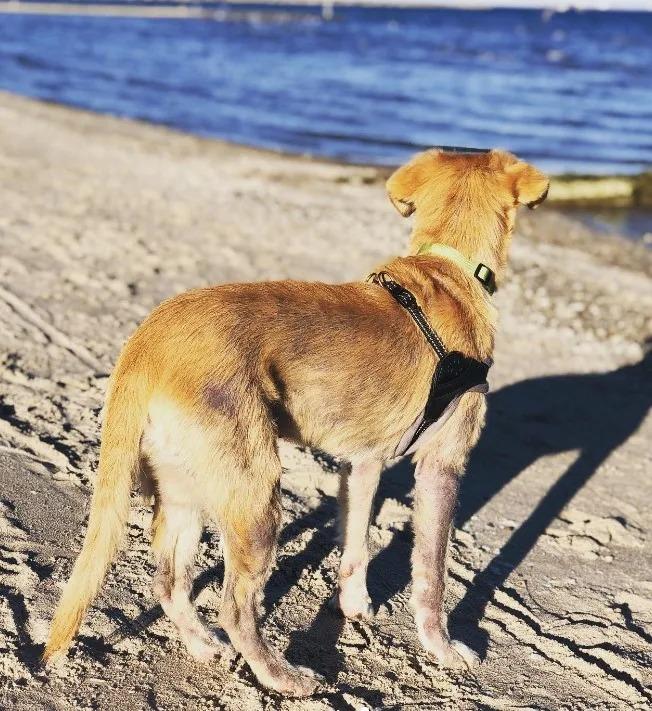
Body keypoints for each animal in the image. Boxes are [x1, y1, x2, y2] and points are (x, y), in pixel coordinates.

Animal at [43, 147, 548, 700]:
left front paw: (354, 606)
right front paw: (443, 647)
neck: (447, 265)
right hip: (255, 491)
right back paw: (281, 676)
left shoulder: (362, 463)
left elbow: (355, 542)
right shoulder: (443, 464)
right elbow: (431, 573)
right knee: (235, 607)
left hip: (185, 485)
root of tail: (145, 344)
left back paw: (203, 645)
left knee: (170, 582)